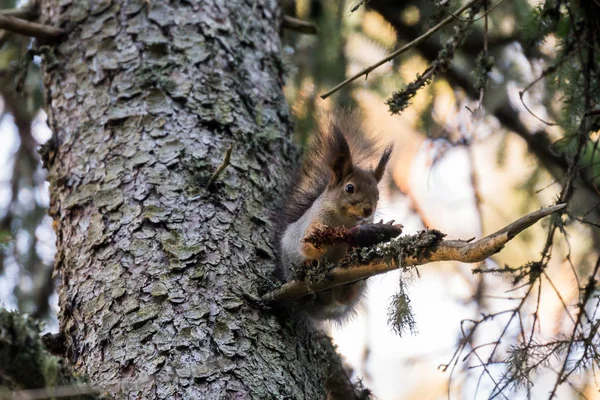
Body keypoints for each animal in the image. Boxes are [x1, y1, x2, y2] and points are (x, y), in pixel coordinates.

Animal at [276, 111, 394, 322]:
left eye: (378, 195)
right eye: (349, 188)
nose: (368, 210)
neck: (345, 220)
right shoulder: (315, 218)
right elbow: (307, 245)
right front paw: (317, 236)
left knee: (344, 296)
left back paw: (350, 285)